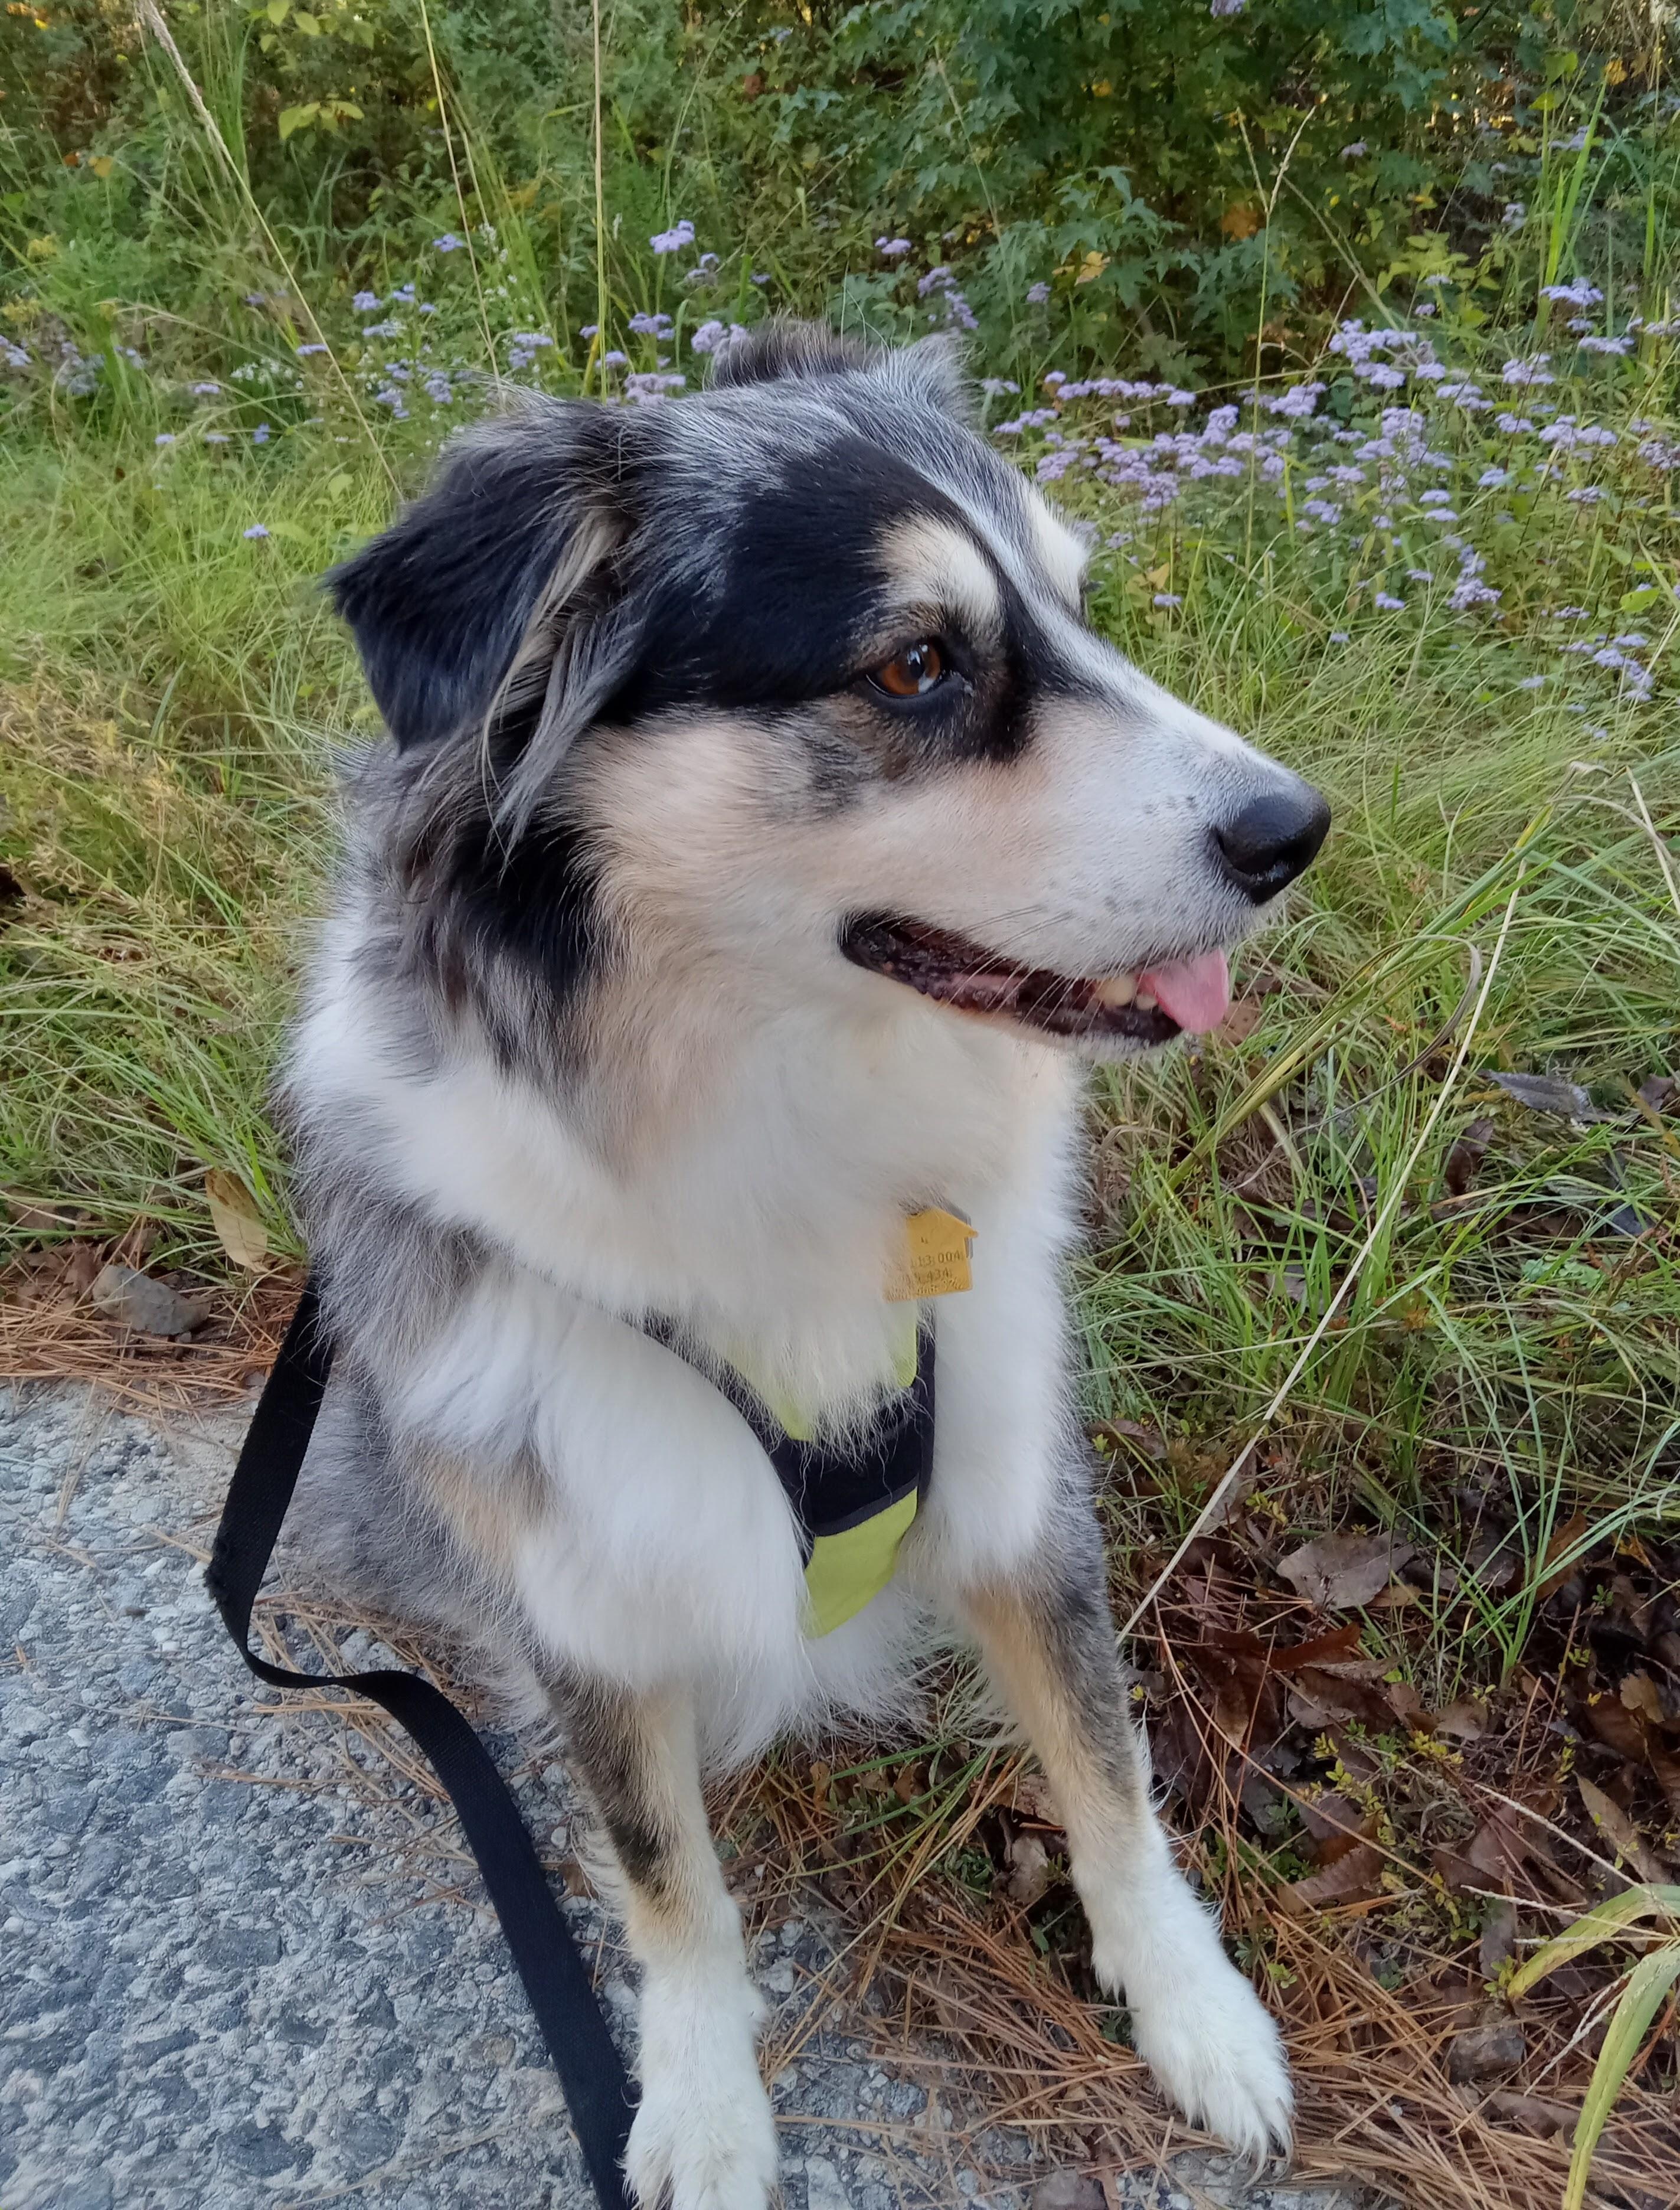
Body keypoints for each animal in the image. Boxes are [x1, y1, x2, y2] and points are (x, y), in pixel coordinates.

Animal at [283, 320, 1329, 2209]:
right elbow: (664, 1875)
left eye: (1075, 606)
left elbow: (1106, 1765)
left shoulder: (1009, 1463)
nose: (1296, 832)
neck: (758, 1110)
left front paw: (1192, 2007)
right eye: (916, 663)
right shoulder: (581, 1555)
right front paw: (702, 2097)